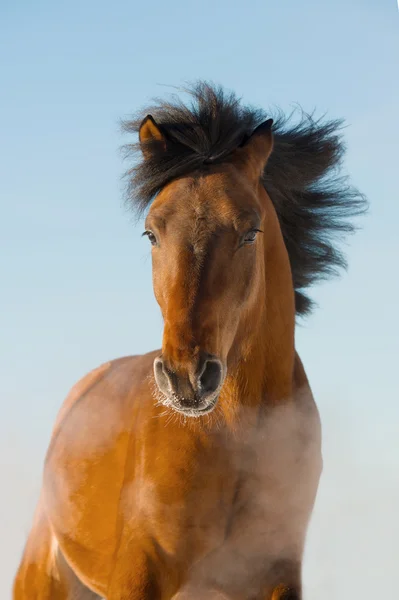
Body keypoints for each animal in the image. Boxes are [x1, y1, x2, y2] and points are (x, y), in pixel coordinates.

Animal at [12, 84, 368, 600]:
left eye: (250, 232)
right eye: (151, 232)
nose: (187, 377)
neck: (238, 438)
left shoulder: (277, 575)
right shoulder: (139, 573)